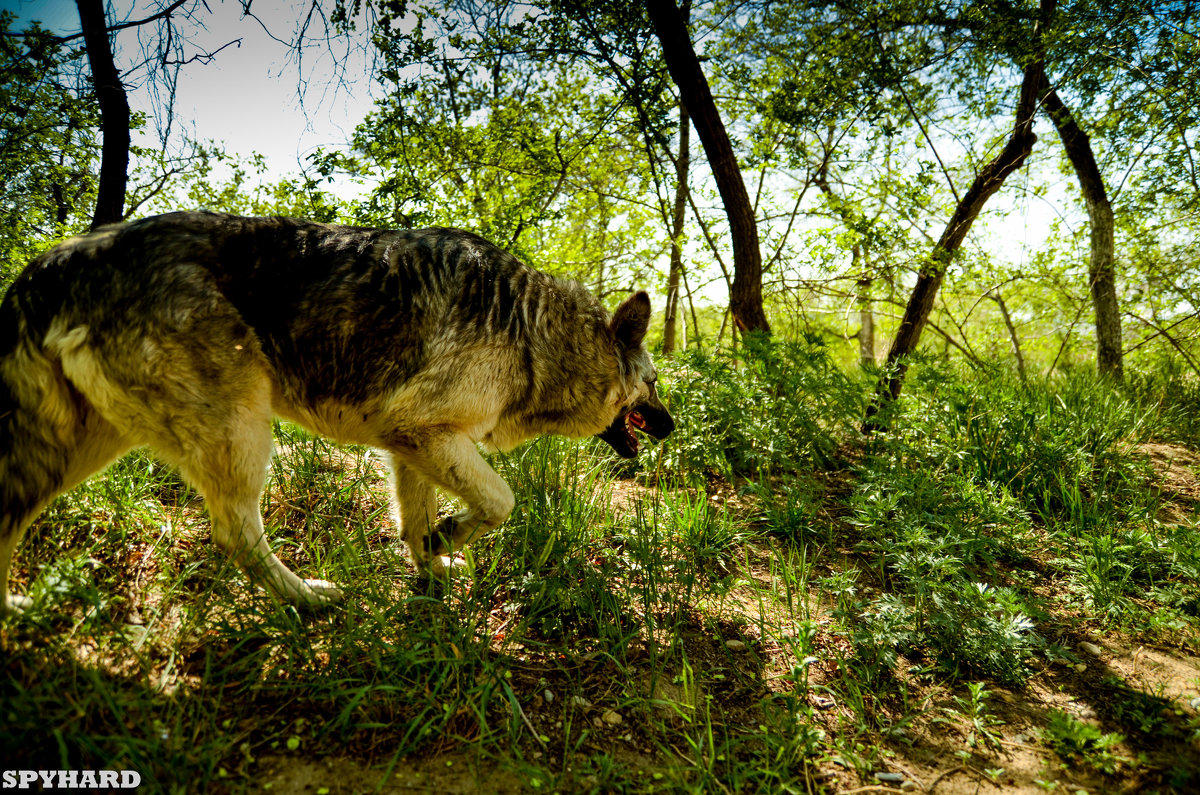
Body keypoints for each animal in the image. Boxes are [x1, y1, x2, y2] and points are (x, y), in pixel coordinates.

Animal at [0, 208, 676, 612]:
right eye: (653, 383)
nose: (672, 429)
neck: (534, 334)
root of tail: (53, 266)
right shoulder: (425, 436)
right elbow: (500, 501)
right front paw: (451, 537)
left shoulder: (413, 445)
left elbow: (415, 523)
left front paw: (433, 565)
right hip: (241, 434)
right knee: (235, 534)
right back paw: (307, 599)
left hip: (79, 453)